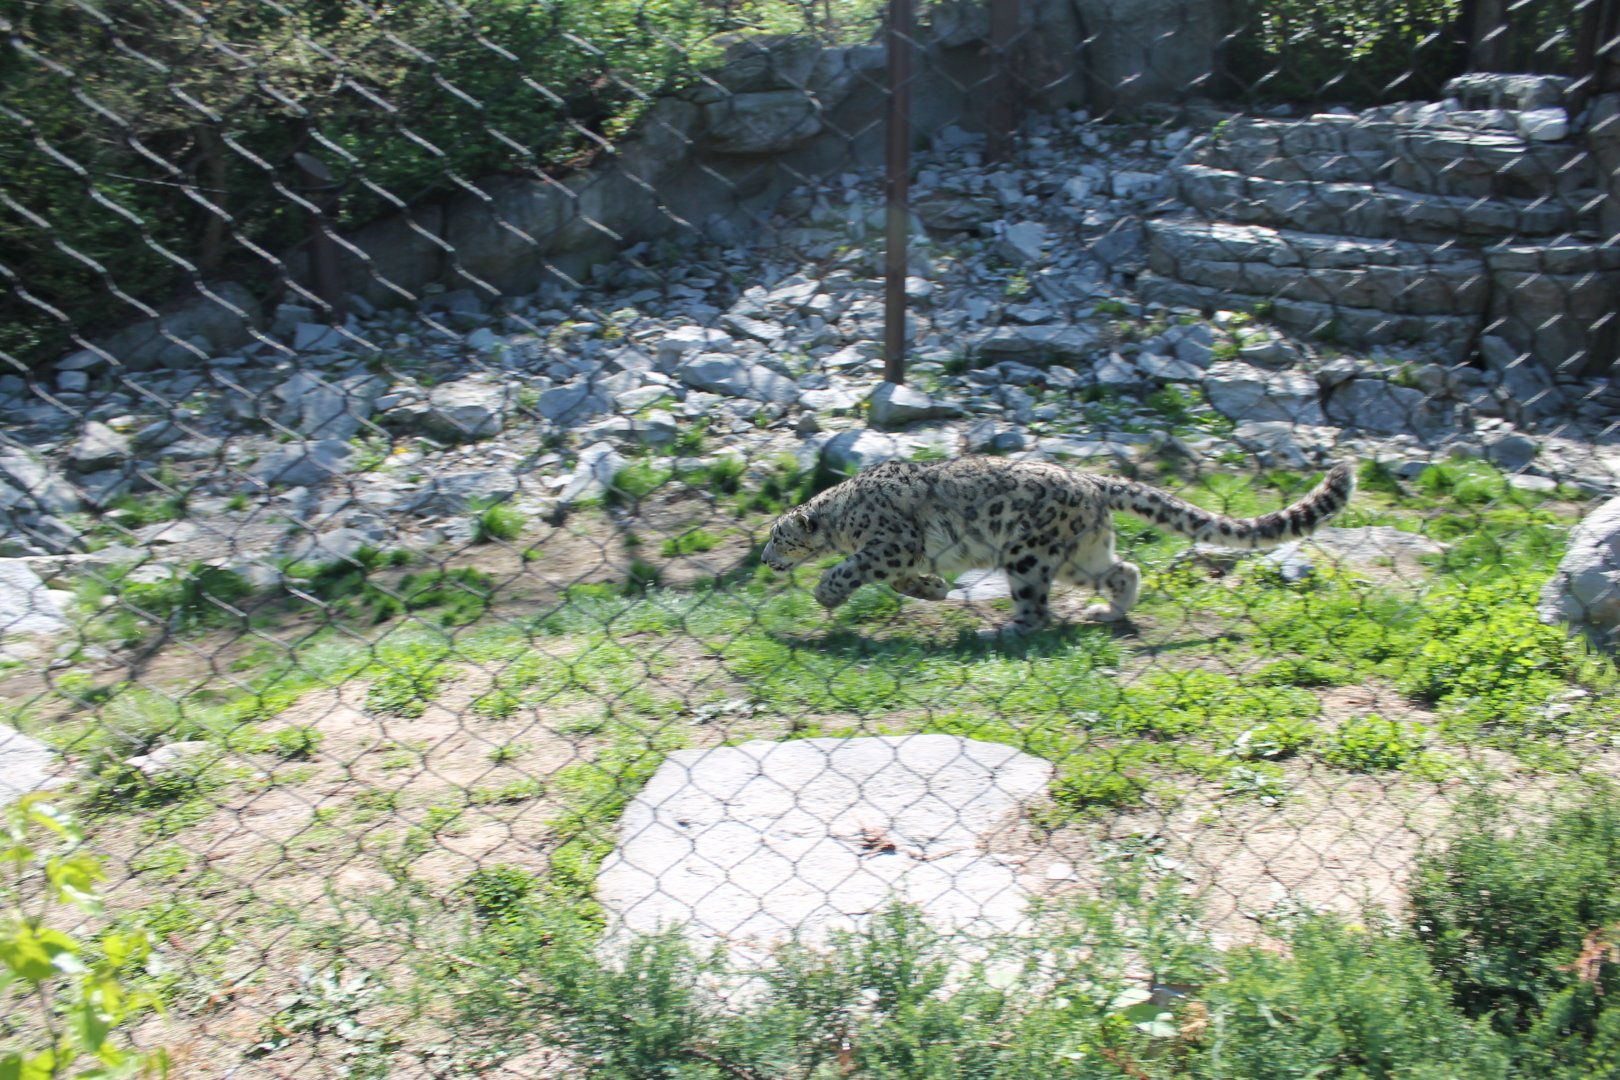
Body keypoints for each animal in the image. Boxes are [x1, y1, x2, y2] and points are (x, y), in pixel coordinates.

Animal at [761, 456, 1357, 636]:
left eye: (776, 537)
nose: (764, 560)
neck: (843, 515)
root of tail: (1091, 479)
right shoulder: (901, 556)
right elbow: (907, 579)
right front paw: (932, 588)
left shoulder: (889, 545)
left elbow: (854, 566)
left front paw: (826, 592)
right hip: (1078, 555)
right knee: (1125, 570)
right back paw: (1106, 612)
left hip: (1028, 557)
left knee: (1035, 610)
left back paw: (1001, 630)